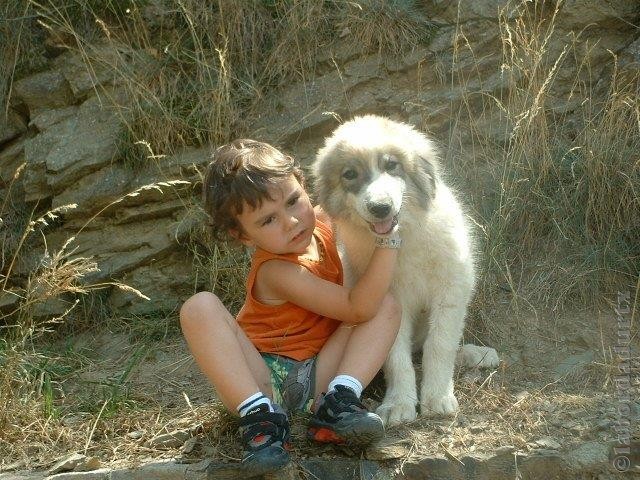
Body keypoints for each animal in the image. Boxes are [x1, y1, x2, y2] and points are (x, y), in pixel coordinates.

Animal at [316, 115, 500, 424]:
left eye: (391, 165)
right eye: (350, 174)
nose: (380, 207)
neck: (403, 239)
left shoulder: (450, 292)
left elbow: (439, 346)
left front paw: (436, 397)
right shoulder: (389, 304)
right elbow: (397, 359)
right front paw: (399, 403)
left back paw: (475, 354)